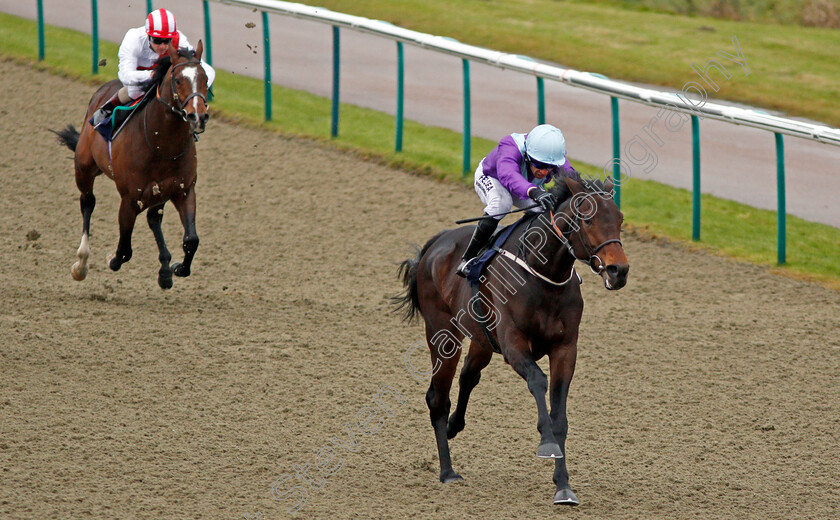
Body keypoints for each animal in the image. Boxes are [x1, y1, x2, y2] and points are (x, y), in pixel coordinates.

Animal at [53, 42, 209, 290]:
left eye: (205, 79)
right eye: (177, 80)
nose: (199, 117)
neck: (162, 144)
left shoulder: (183, 190)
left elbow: (191, 239)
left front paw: (177, 268)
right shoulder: (130, 198)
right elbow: (125, 250)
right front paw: (111, 258)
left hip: (159, 193)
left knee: (154, 218)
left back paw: (165, 270)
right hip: (84, 168)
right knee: (88, 203)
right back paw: (81, 263)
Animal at [394, 177, 632, 506]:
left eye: (620, 219)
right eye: (588, 219)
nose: (618, 271)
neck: (544, 274)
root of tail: (436, 243)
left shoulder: (565, 349)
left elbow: (560, 416)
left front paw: (563, 486)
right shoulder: (514, 344)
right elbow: (537, 380)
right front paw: (547, 444)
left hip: (481, 338)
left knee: (469, 375)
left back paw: (455, 426)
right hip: (443, 334)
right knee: (437, 397)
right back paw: (447, 471)